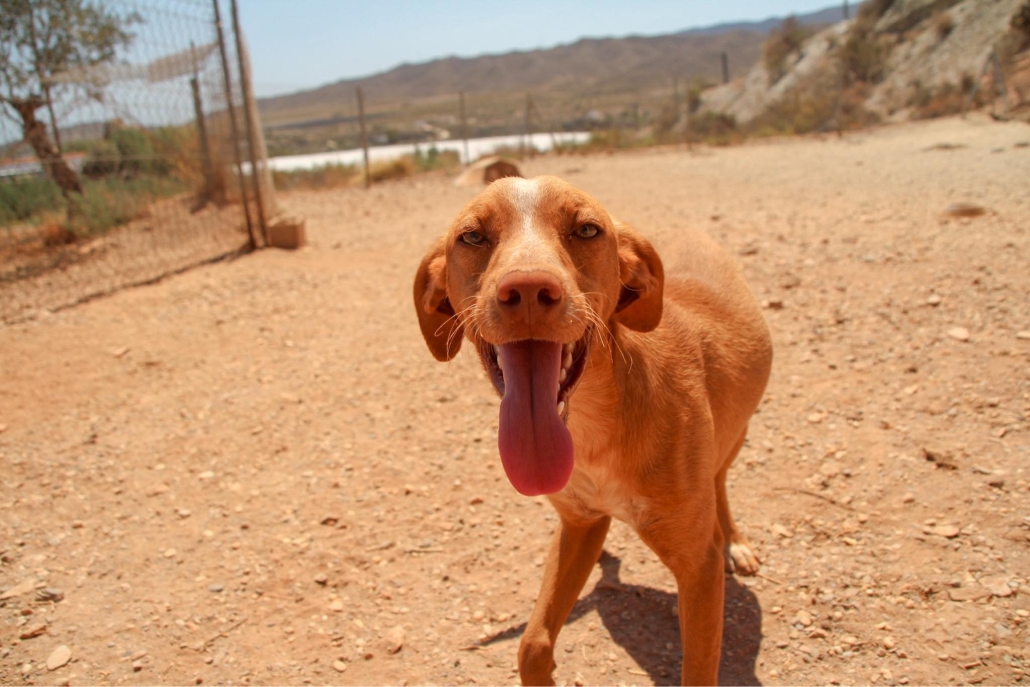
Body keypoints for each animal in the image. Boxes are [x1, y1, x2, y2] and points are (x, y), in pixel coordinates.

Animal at [413, 176, 772, 686]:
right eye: (472, 236)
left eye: (586, 229)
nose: (527, 288)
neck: (594, 428)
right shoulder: (578, 526)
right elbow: (532, 646)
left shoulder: (698, 570)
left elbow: (699, 666)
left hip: (735, 433)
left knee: (719, 479)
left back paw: (735, 542)